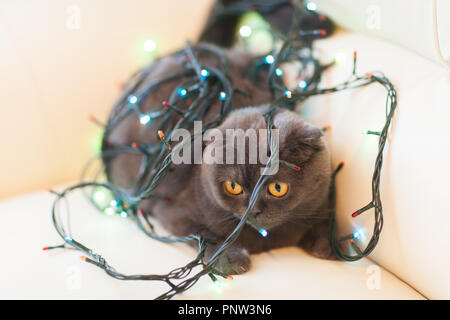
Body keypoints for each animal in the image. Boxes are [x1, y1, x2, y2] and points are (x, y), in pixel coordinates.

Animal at [103, 48, 336, 276]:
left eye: (277, 188)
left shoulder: (320, 203)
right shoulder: (172, 210)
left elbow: (324, 222)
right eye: (233, 186)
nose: (253, 210)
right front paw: (229, 259)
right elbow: (203, 233)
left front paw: (333, 244)